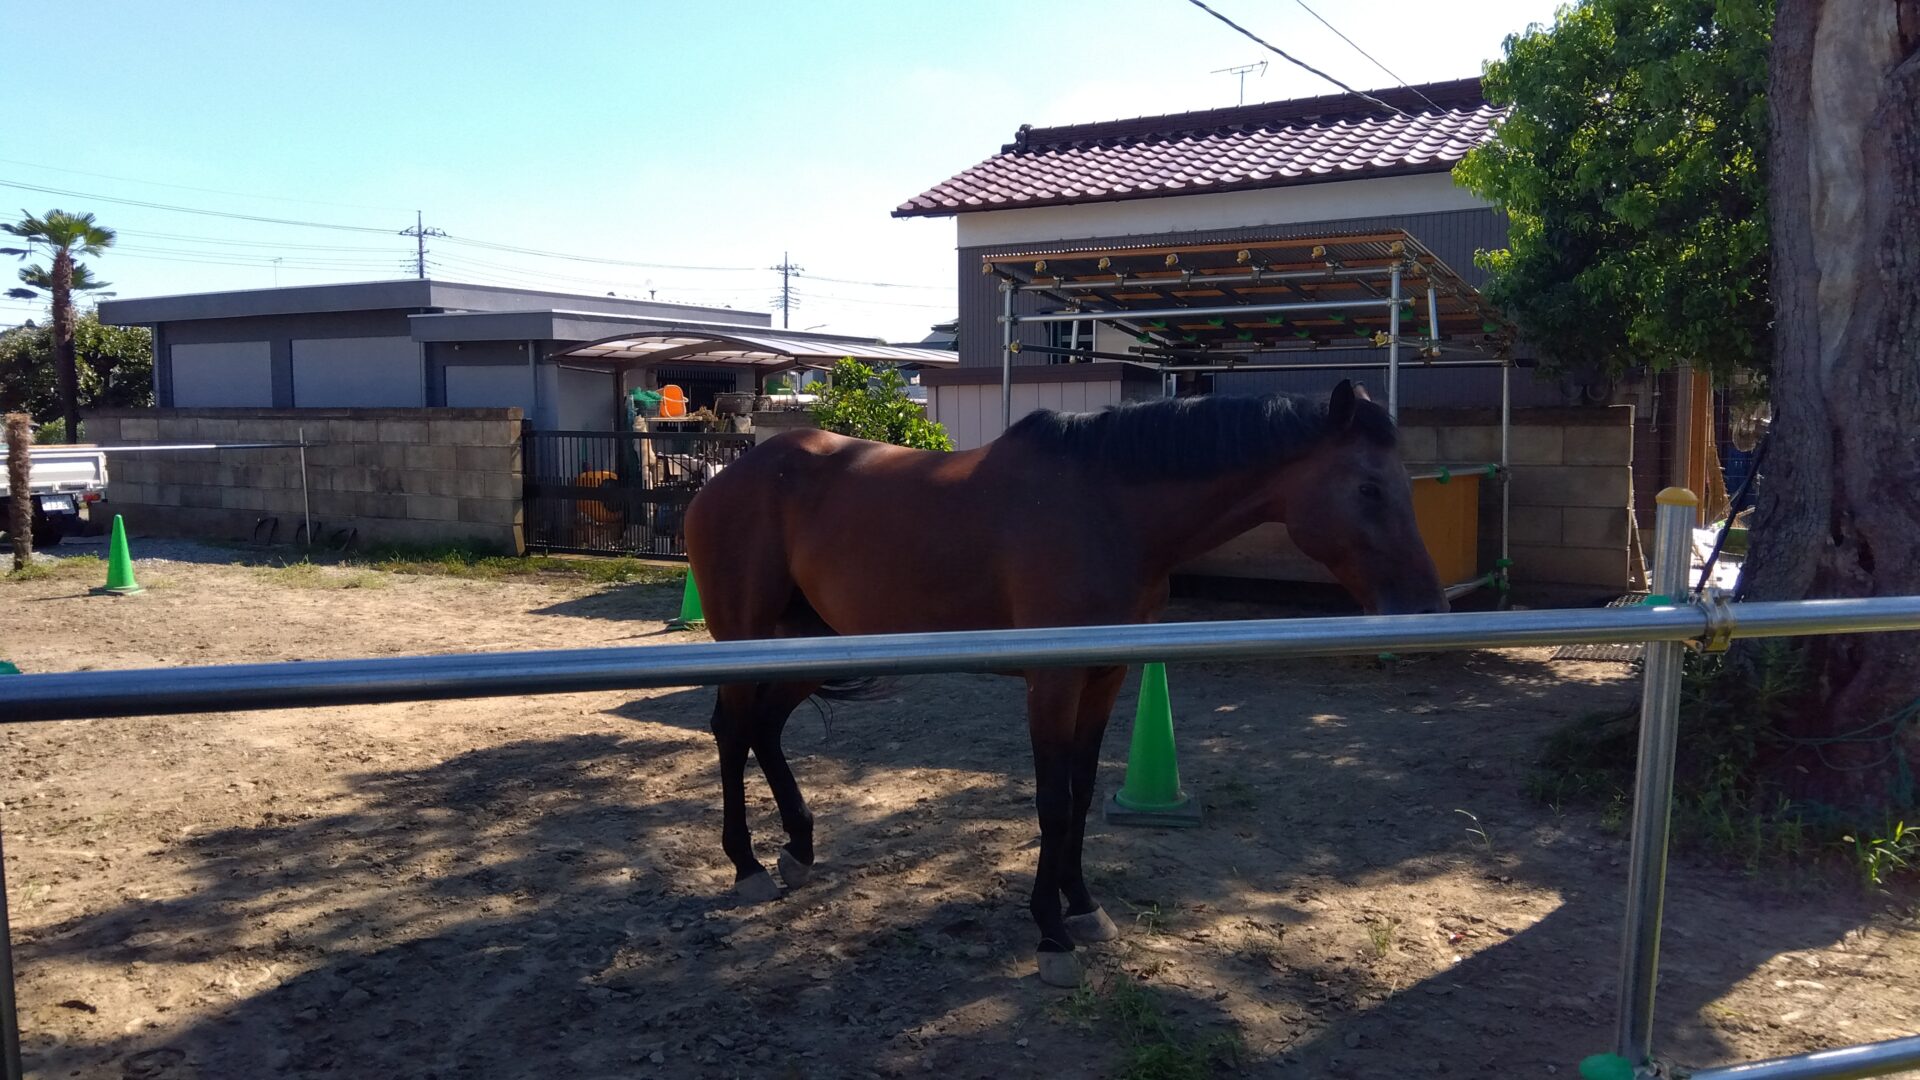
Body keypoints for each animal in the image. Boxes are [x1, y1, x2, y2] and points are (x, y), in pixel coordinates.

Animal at [681, 380, 1446, 986]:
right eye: (1369, 488)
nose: (1427, 607)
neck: (1106, 509)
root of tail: (726, 476)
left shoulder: (1105, 677)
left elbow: (1079, 795)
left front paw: (1085, 908)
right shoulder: (1051, 682)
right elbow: (1052, 802)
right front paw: (1051, 934)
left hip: (808, 640)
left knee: (764, 727)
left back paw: (799, 850)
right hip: (748, 637)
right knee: (732, 729)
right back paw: (746, 865)